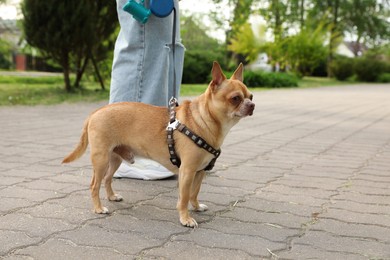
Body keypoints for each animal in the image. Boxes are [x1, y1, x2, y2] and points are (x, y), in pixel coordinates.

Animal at [62, 62, 254, 226]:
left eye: (250, 96)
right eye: (235, 98)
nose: (252, 104)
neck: (205, 121)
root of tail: (96, 112)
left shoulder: (200, 172)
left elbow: (194, 193)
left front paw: (197, 207)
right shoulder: (187, 172)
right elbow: (184, 197)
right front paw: (185, 218)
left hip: (114, 159)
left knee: (107, 179)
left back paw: (112, 197)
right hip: (101, 159)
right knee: (94, 184)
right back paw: (99, 208)